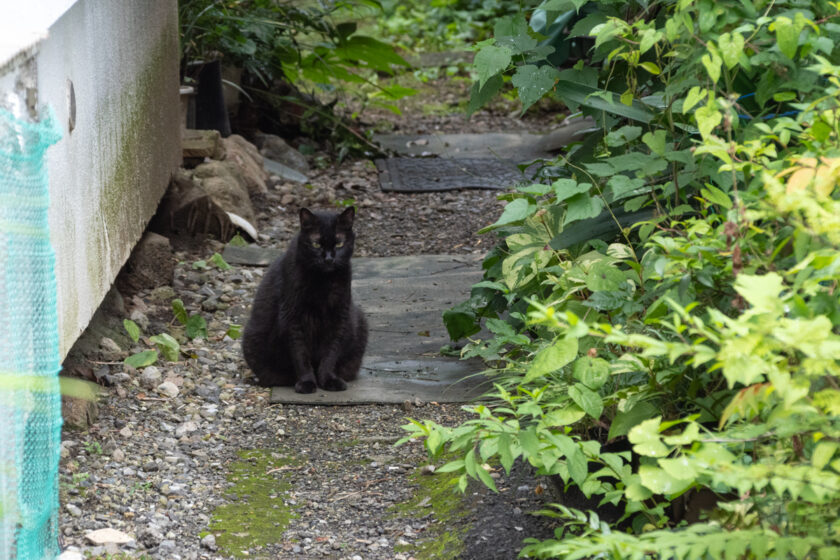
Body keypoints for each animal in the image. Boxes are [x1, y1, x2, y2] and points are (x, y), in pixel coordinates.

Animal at [240, 206, 364, 394]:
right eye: (316, 244)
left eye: (339, 243)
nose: (329, 258)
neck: (323, 281)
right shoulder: (293, 319)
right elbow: (301, 355)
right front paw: (307, 383)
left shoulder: (339, 316)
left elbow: (330, 353)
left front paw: (329, 380)